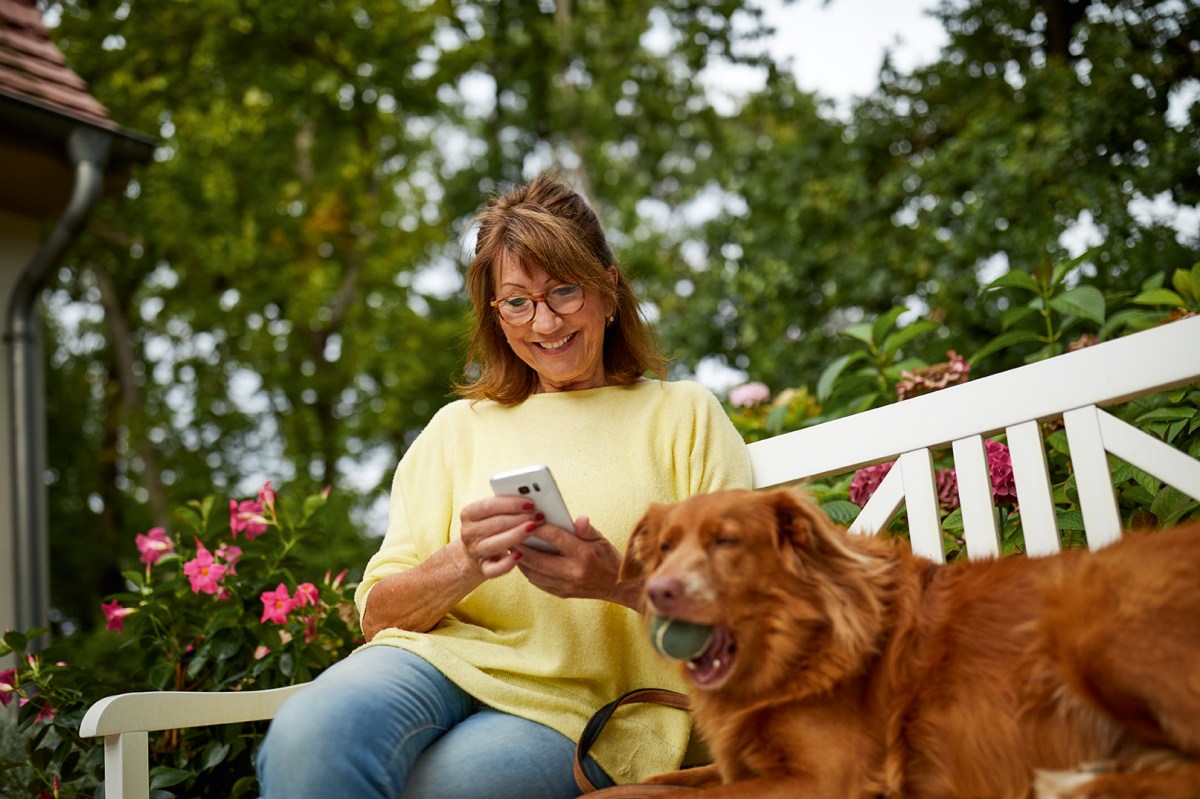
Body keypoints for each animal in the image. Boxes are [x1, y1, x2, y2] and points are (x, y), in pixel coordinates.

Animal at [619, 489, 1200, 791]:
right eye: (665, 547)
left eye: (726, 541)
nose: (658, 591)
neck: (800, 650)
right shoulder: (736, 767)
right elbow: (664, 782)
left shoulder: (824, 779)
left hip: (1085, 622)